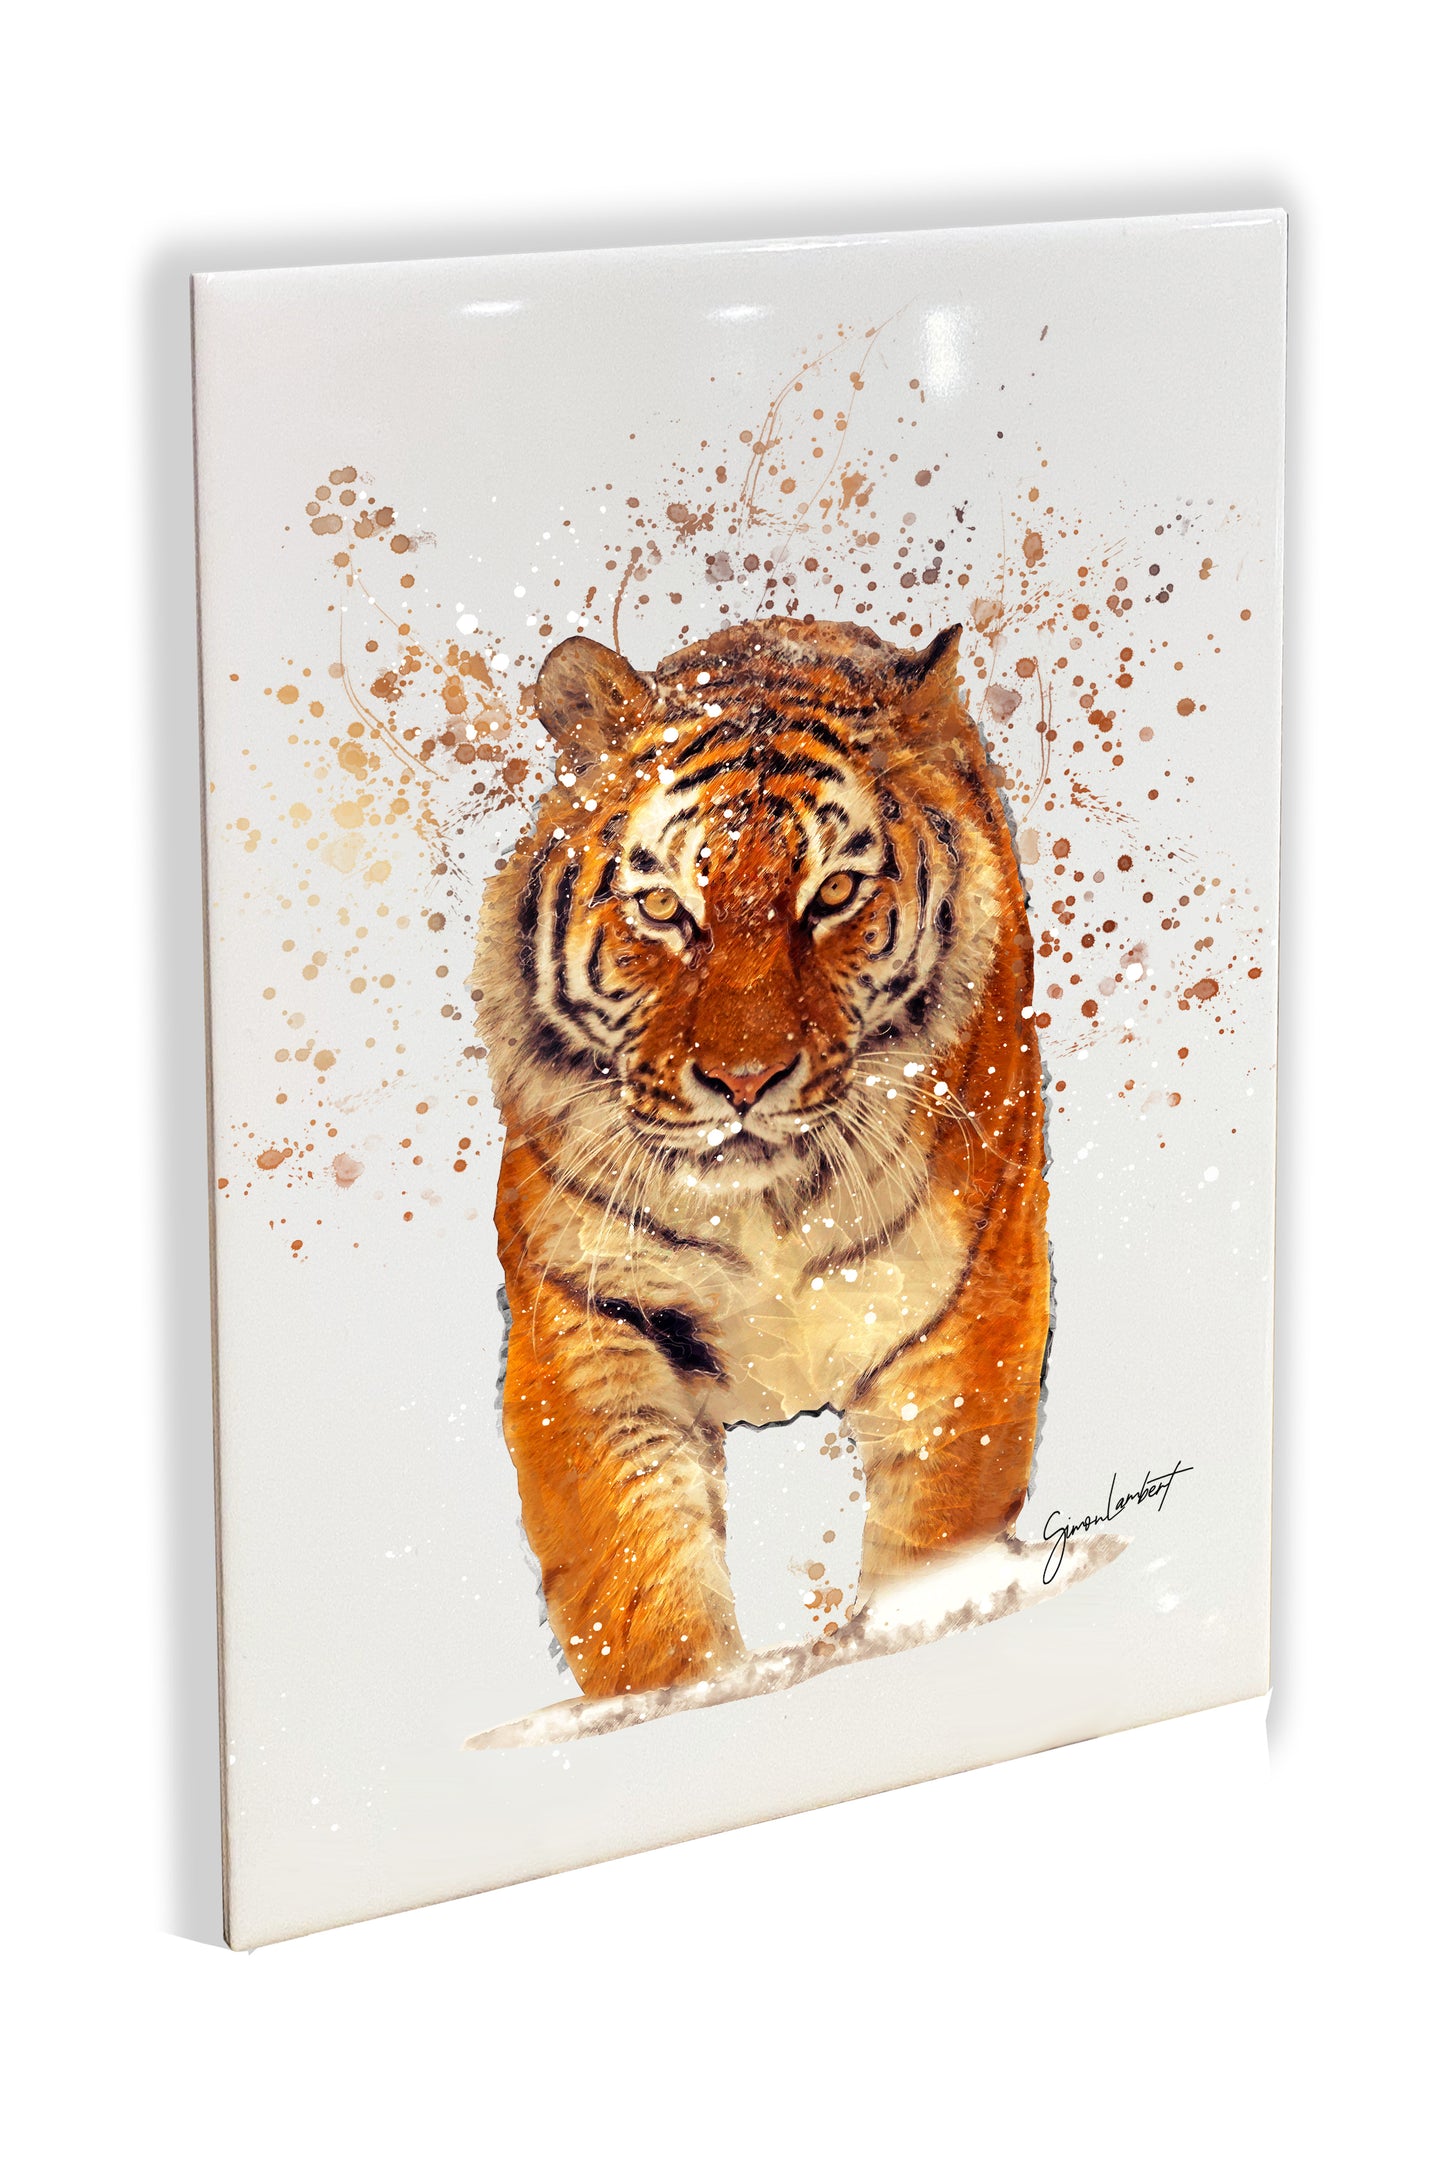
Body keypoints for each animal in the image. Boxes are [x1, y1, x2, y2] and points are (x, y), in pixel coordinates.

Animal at [471, 614, 1050, 1701]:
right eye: (663, 908)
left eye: (833, 894)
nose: (743, 1081)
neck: (766, 1207)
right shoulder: (582, 1313)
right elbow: (632, 1585)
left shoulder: (967, 1306)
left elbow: (934, 1540)